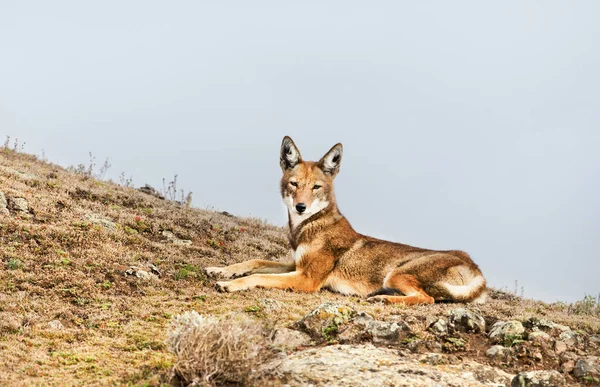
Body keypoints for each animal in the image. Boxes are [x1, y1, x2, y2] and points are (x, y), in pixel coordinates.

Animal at [204, 138, 486, 304]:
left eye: (316, 187)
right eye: (294, 184)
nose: (300, 207)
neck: (307, 229)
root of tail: (476, 269)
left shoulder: (307, 279)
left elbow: (257, 276)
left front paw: (229, 284)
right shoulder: (295, 265)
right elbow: (254, 262)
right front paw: (220, 270)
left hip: (396, 274)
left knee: (426, 299)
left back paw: (384, 300)